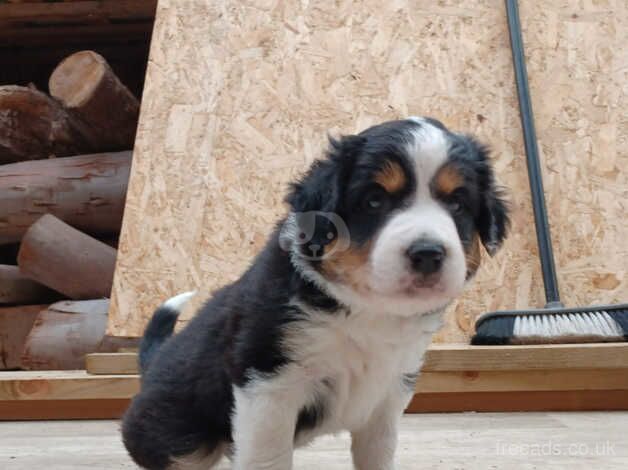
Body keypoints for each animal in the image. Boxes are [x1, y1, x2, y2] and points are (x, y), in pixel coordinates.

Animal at [122, 115, 510, 468]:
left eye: (458, 204)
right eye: (374, 201)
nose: (428, 253)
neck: (368, 312)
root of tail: (154, 364)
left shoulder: (390, 390)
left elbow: (378, 455)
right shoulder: (267, 382)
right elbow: (267, 459)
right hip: (179, 437)